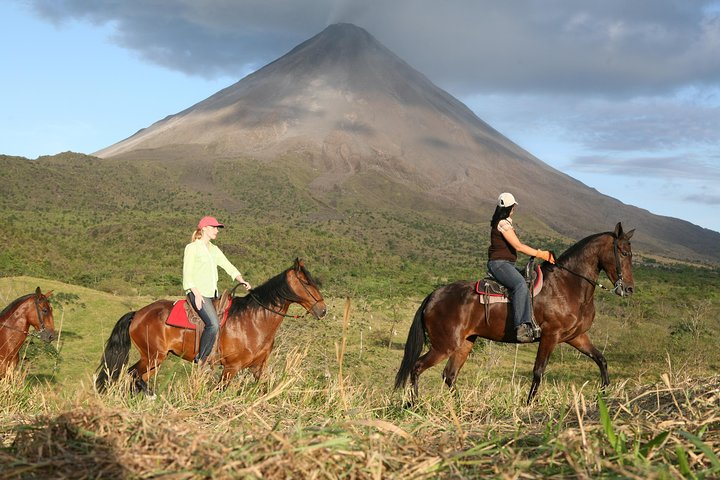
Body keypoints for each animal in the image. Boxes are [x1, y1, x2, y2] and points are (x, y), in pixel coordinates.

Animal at [94, 258, 324, 394]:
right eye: (307, 282)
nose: (323, 310)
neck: (253, 321)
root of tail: (138, 313)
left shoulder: (258, 368)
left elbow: (264, 389)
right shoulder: (231, 368)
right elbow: (219, 392)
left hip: (155, 360)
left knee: (135, 377)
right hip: (152, 356)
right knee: (132, 374)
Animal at [394, 223, 636, 404]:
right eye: (624, 253)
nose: (629, 289)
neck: (568, 284)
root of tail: (434, 295)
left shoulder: (576, 337)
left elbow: (601, 360)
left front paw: (604, 394)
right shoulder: (550, 336)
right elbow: (538, 372)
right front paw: (528, 405)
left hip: (465, 342)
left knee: (449, 375)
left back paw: (460, 407)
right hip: (445, 345)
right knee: (417, 368)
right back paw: (414, 404)